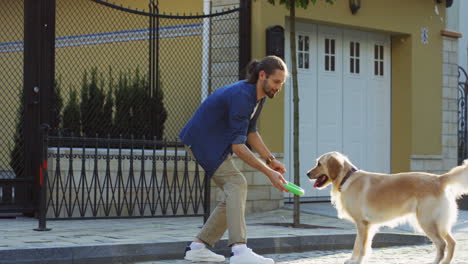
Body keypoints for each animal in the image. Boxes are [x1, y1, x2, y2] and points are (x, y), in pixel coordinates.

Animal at [306, 151, 468, 264]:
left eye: (319, 163)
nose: (307, 173)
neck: (347, 179)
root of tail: (439, 179)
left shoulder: (362, 223)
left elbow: (361, 246)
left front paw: (357, 260)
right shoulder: (365, 225)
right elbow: (357, 244)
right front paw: (352, 259)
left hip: (427, 222)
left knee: (442, 244)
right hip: (440, 224)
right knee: (452, 242)